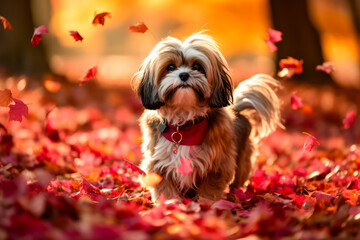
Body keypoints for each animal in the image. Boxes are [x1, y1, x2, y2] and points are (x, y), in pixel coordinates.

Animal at [131, 31, 282, 201]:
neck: (184, 126)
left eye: (197, 66)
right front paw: (170, 203)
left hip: (242, 163)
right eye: (170, 67)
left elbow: (209, 190)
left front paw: (205, 204)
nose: (184, 74)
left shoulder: (217, 166)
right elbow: (166, 190)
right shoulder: (158, 164)